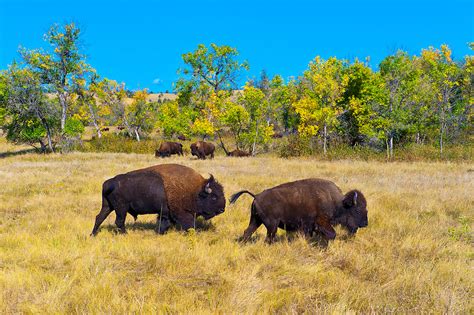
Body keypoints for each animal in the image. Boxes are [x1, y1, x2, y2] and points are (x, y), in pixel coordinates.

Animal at [92, 164, 228, 236]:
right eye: (214, 196)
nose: (222, 209)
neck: (195, 190)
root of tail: (110, 182)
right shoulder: (182, 213)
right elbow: (189, 225)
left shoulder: (166, 213)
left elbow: (164, 223)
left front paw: (159, 233)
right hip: (121, 208)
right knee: (119, 221)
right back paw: (124, 234)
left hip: (108, 206)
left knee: (99, 217)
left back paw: (93, 234)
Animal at [231, 178, 368, 244]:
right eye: (357, 209)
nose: (365, 224)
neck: (338, 202)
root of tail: (256, 196)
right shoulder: (322, 222)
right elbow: (332, 234)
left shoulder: (310, 227)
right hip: (271, 225)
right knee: (268, 237)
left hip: (256, 220)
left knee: (248, 232)